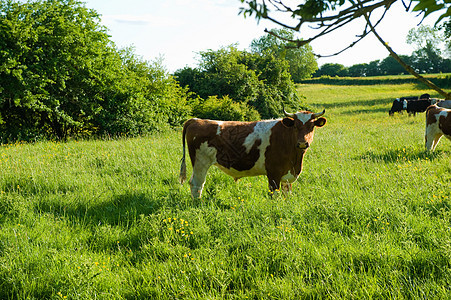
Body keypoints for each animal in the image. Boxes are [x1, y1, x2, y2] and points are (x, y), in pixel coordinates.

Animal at [178, 109, 326, 198]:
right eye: (295, 126)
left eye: (311, 126)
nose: (302, 143)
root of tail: (196, 120)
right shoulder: (273, 173)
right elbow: (274, 194)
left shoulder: (287, 175)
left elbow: (286, 193)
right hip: (200, 162)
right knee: (197, 184)